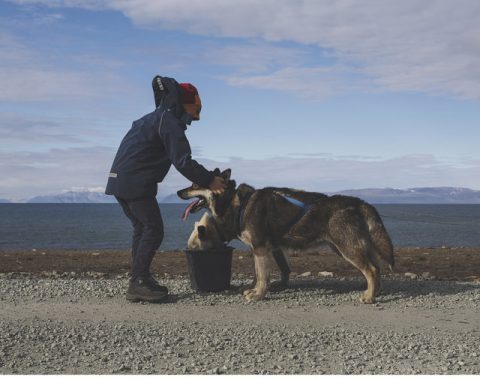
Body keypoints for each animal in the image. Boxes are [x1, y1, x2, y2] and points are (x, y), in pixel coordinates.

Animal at [180, 169, 394, 302]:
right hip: (351, 247)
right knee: (376, 267)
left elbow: (263, 275)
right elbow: (261, 274)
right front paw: (258, 289)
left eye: (194, 184)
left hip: (347, 248)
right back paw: (376, 291)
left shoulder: (260, 249)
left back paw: (369, 297)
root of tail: (359, 202)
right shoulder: (266, 250)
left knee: (371, 270)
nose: (178, 191)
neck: (236, 202)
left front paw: (258, 295)